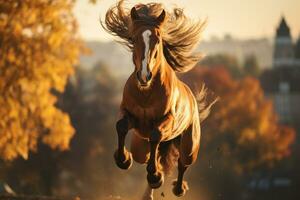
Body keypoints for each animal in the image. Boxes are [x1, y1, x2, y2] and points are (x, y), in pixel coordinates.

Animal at [101, 0, 216, 198]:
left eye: (159, 39)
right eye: (133, 38)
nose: (144, 76)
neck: (146, 94)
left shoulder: (168, 119)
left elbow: (156, 135)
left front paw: (155, 175)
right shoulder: (128, 113)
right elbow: (121, 126)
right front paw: (123, 159)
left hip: (189, 147)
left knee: (182, 162)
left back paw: (177, 187)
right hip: (140, 145)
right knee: (148, 156)